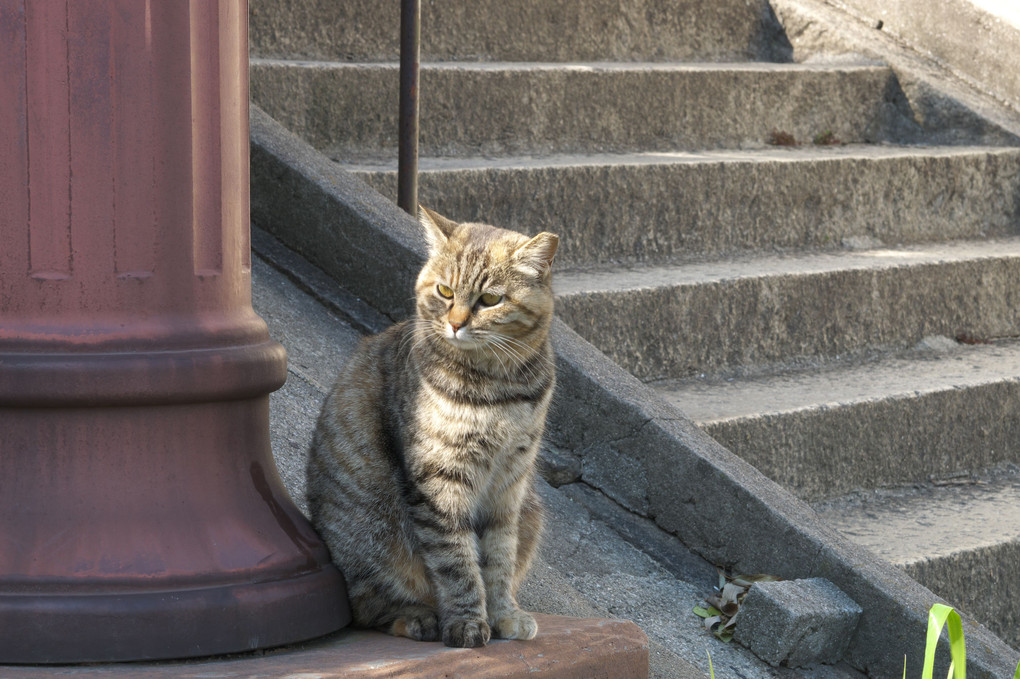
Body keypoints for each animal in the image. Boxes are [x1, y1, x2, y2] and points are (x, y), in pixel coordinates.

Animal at [308, 205, 558, 644]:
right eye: (444, 292)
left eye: (490, 299)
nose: (456, 323)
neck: (497, 389)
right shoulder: (441, 479)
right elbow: (457, 562)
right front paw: (468, 622)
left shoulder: (510, 483)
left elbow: (499, 558)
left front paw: (504, 613)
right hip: (372, 539)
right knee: (366, 606)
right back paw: (418, 618)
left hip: (531, 511)